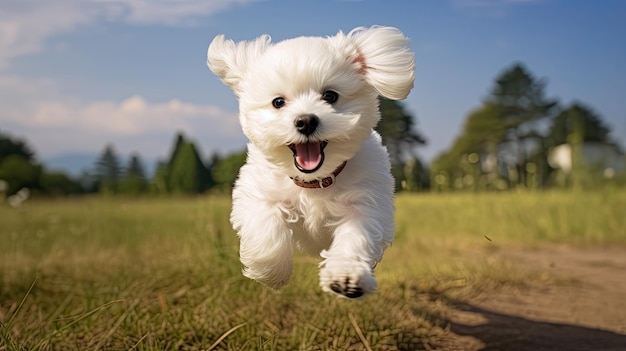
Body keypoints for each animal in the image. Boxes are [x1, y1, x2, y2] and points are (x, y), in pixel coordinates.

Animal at [205, 25, 416, 300]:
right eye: (278, 102)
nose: (305, 121)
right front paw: (270, 271)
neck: (314, 181)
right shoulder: (259, 193)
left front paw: (346, 277)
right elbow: (266, 227)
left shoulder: (365, 202)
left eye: (330, 95)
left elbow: (356, 236)